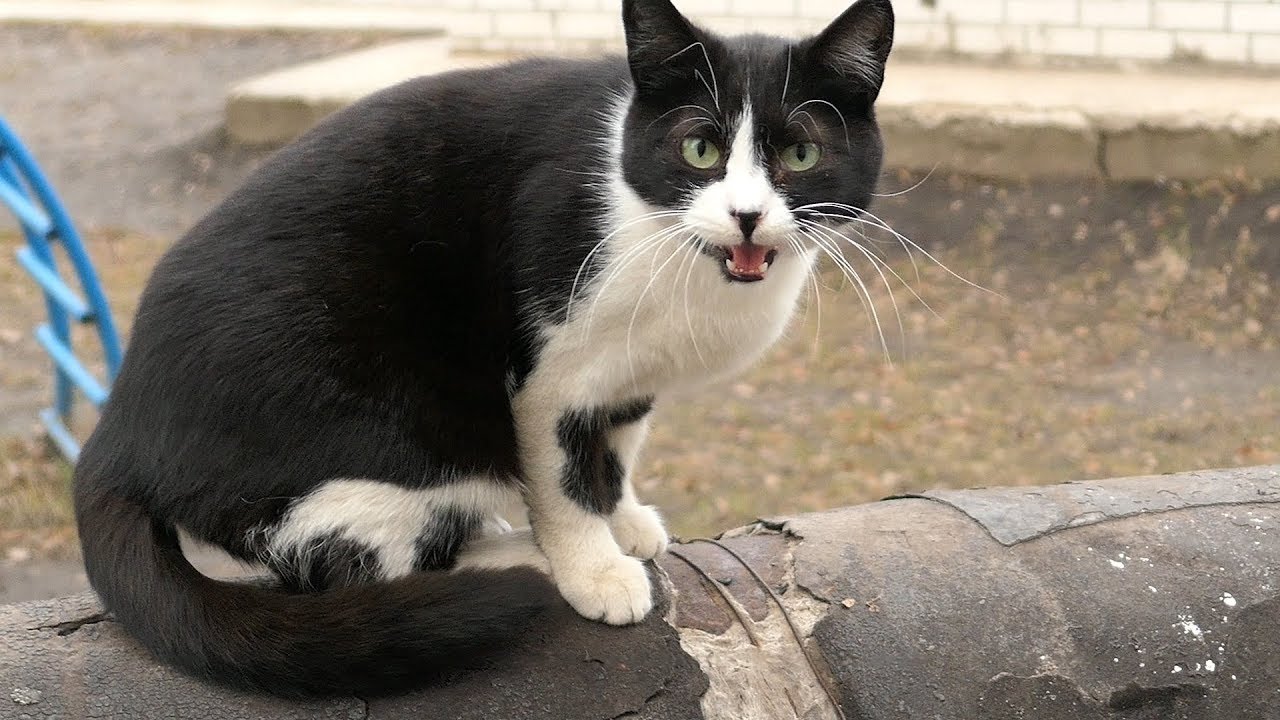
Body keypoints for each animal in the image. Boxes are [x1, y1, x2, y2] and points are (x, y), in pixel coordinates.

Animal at [67, 0, 890, 696]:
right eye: (698, 148)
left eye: (801, 154)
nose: (747, 216)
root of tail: (118, 427)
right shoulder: (551, 368)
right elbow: (563, 475)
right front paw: (592, 566)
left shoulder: (627, 375)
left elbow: (616, 447)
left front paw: (624, 517)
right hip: (399, 435)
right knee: (356, 564)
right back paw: (516, 560)